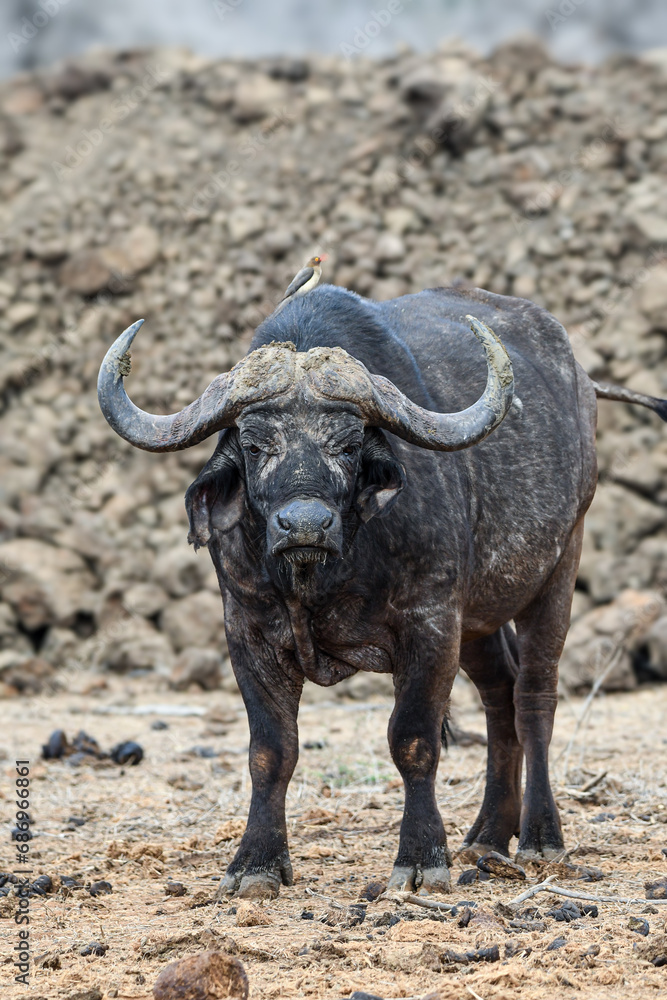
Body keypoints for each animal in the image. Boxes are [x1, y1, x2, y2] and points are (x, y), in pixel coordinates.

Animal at [98, 284, 667, 899]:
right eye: (253, 444)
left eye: (349, 444)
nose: (304, 524)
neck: (320, 577)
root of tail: (581, 382)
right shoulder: (247, 632)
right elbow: (270, 750)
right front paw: (255, 864)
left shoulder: (430, 622)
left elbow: (414, 741)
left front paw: (422, 858)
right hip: (478, 622)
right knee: (500, 695)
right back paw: (488, 835)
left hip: (558, 569)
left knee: (533, 696)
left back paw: (540, 838)